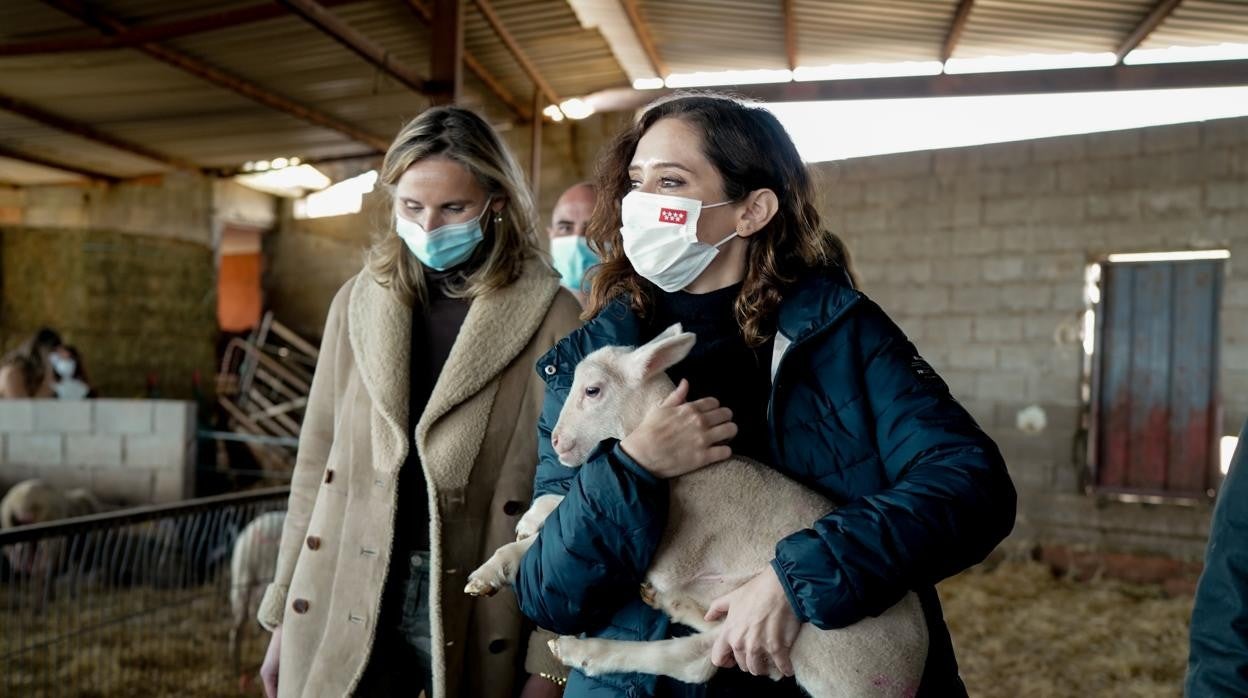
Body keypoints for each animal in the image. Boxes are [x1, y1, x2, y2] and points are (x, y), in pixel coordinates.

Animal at [466, 327, 928, 698]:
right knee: (704, 654)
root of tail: (909, 675)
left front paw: (498, 562)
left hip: (813, 635)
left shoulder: (662, 537)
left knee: (700, 660)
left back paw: (586, 648)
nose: (559, 442)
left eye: (592, 391)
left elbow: (552, 527)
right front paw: (525, 525)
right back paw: (672, 607)